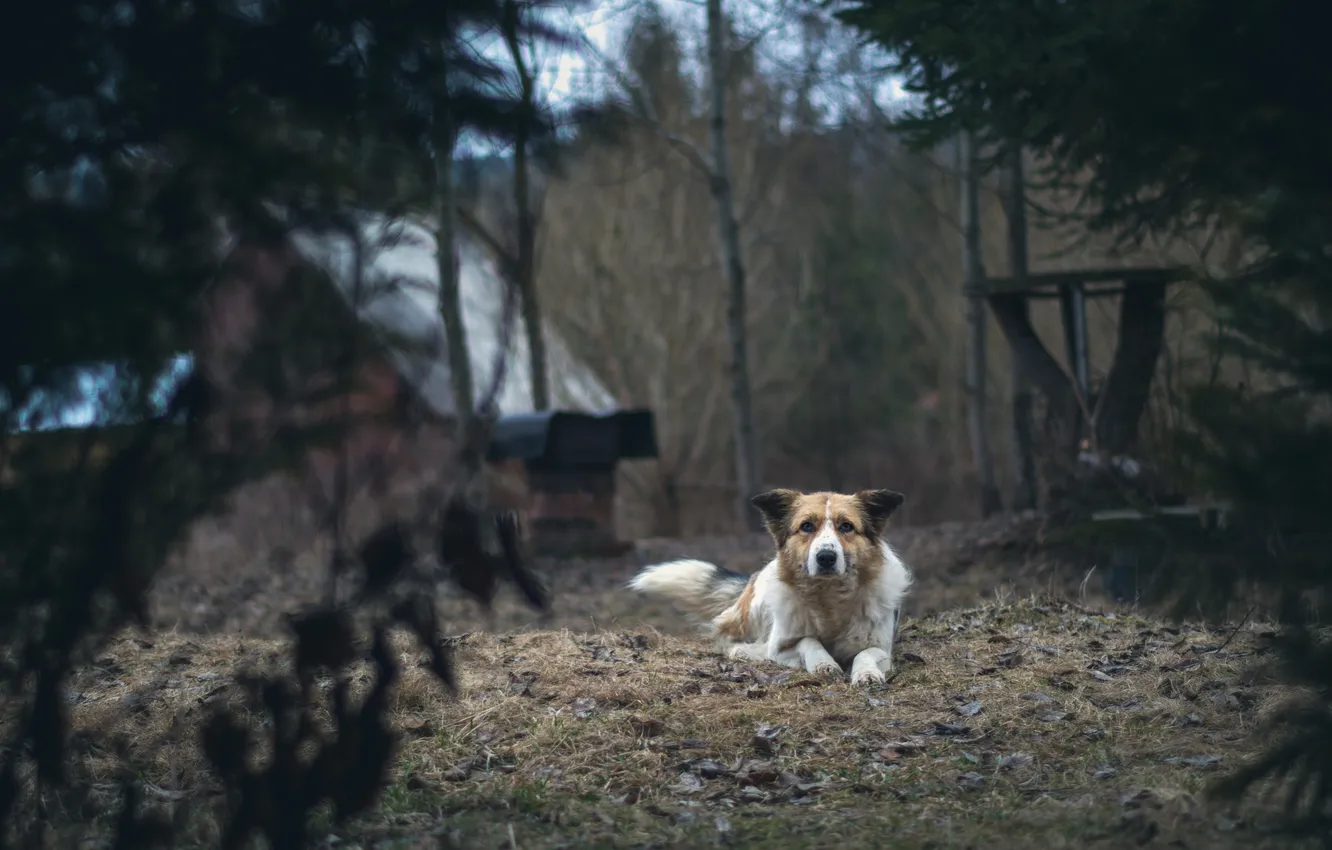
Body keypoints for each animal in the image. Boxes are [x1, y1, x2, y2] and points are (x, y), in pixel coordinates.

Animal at [628, 492, 911, 687]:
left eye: (846, 527)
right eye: (807, 526)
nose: (826, 557)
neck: (828, 595)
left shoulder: (882, 647)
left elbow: (865, 654)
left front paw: (866, 673)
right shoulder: (782, 647)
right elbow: (808, 641)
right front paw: (824, 663)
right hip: (756, 606)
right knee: (728, 636)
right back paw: (744, 650)